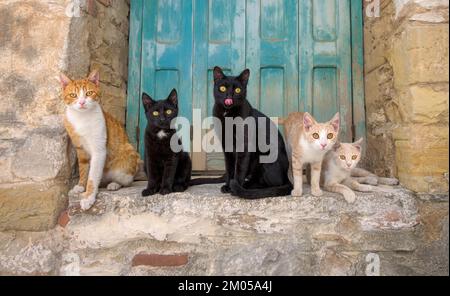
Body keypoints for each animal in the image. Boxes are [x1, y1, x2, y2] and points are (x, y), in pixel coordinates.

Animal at [59, 69, 141, 210]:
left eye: (89, 93)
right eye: (73, 95)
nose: (82, 102)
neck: (82, 118)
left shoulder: (99, 151)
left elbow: (92, 177)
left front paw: (88, 197)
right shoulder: (80, 149)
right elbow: (83, 169)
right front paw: (81, 186)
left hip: (127, 157)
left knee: (127, 181)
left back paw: (114, 184)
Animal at [214, 66, 294, 198]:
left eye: (237, 90)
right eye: (222, 88)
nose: (229, 97)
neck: (228, 115)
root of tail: (287, 177)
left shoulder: (244, 146)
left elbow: (239, 169)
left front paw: (233, 187)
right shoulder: (226, 147)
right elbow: (229, 168)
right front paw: (227, 186)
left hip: (267, 157)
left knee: (273, 184)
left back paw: (246, 187)